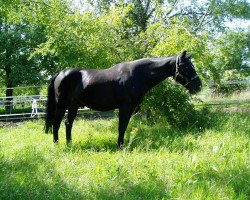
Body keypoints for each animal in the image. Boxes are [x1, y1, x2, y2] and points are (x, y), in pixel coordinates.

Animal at [44, 50, 201, 147]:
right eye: (185, 67)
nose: (198, 86)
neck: (138, 75)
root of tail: (60, 74)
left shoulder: (131, 108)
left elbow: (124, 127)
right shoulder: (125, 107)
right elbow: (122, 126)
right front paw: (120, 146)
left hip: (74, 106)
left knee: (68, 123)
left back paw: (69, 143)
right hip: (62, 105)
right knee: (56, 123)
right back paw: (57, 144)